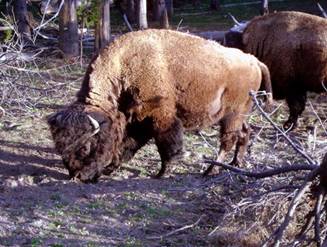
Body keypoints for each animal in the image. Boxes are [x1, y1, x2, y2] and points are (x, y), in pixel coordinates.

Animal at [48, 29, 274, 183]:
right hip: (241, 113)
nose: (77, 176)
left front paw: (162, 172)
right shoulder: (136, 119)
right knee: (244, 132)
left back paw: (210, 170)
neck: (124, 66)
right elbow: (128, 143)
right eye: (59, 147)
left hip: (231, 115)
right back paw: (236, 163)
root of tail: (253, 60)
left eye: (85, 147)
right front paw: (112, 166)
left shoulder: (159, 116)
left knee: (228, 140)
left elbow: (166, 144)